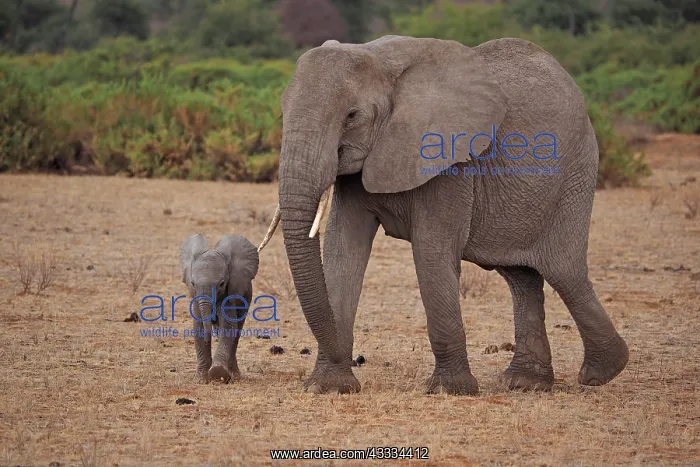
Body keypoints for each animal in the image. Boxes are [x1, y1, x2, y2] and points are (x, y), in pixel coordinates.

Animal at [180, 234, 259, 383]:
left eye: (222, 284)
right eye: (192, 283)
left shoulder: (229, 294)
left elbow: (228, 326)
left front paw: (218, 374)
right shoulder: (196, 298)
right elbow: (198, 326)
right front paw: (202, 379)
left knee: (237, 330)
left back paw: (234, 376)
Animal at [258, 35, 629, 395]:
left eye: (352, 115)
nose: (356, 360)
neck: (380, 60)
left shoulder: (448, 159)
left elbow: (432, 253)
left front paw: (450, 391)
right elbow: (342, 252)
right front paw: (329, 388)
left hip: (574, 173)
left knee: (563, 271)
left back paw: (602, 373)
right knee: (521, 277)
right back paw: (526, 384)